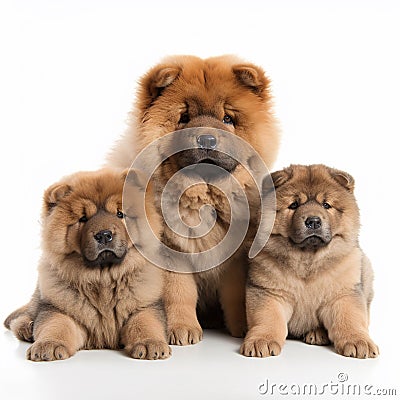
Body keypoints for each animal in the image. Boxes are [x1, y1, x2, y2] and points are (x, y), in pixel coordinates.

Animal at [4, 169, 170, 362]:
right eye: (83, 218)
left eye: (120, 214)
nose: (104, 235)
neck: (103, 279)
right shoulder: (58, 309)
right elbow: (55, 325)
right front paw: (48, 345)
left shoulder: (146, 305)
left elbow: (145, 323)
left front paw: (151, 344)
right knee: (28, 313)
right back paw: (27, 327)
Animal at [108, 54, 280, 346]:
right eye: (184, 117)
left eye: (227, 117)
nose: (207, 139)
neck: (203, 200)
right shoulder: (170, 252)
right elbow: (180, 293)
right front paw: (182, 330)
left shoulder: (236, 257)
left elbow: (236, 294)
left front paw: (243, 328)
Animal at [241, 164, 378, 358]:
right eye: (294, 205)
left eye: (326, 205)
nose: (313, 221)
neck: (307, 259)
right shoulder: (268, 292)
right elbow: (267, 318)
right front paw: (262, 341)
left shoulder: (343, 293)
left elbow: (350, 318)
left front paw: (359, 342)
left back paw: (317, 334)